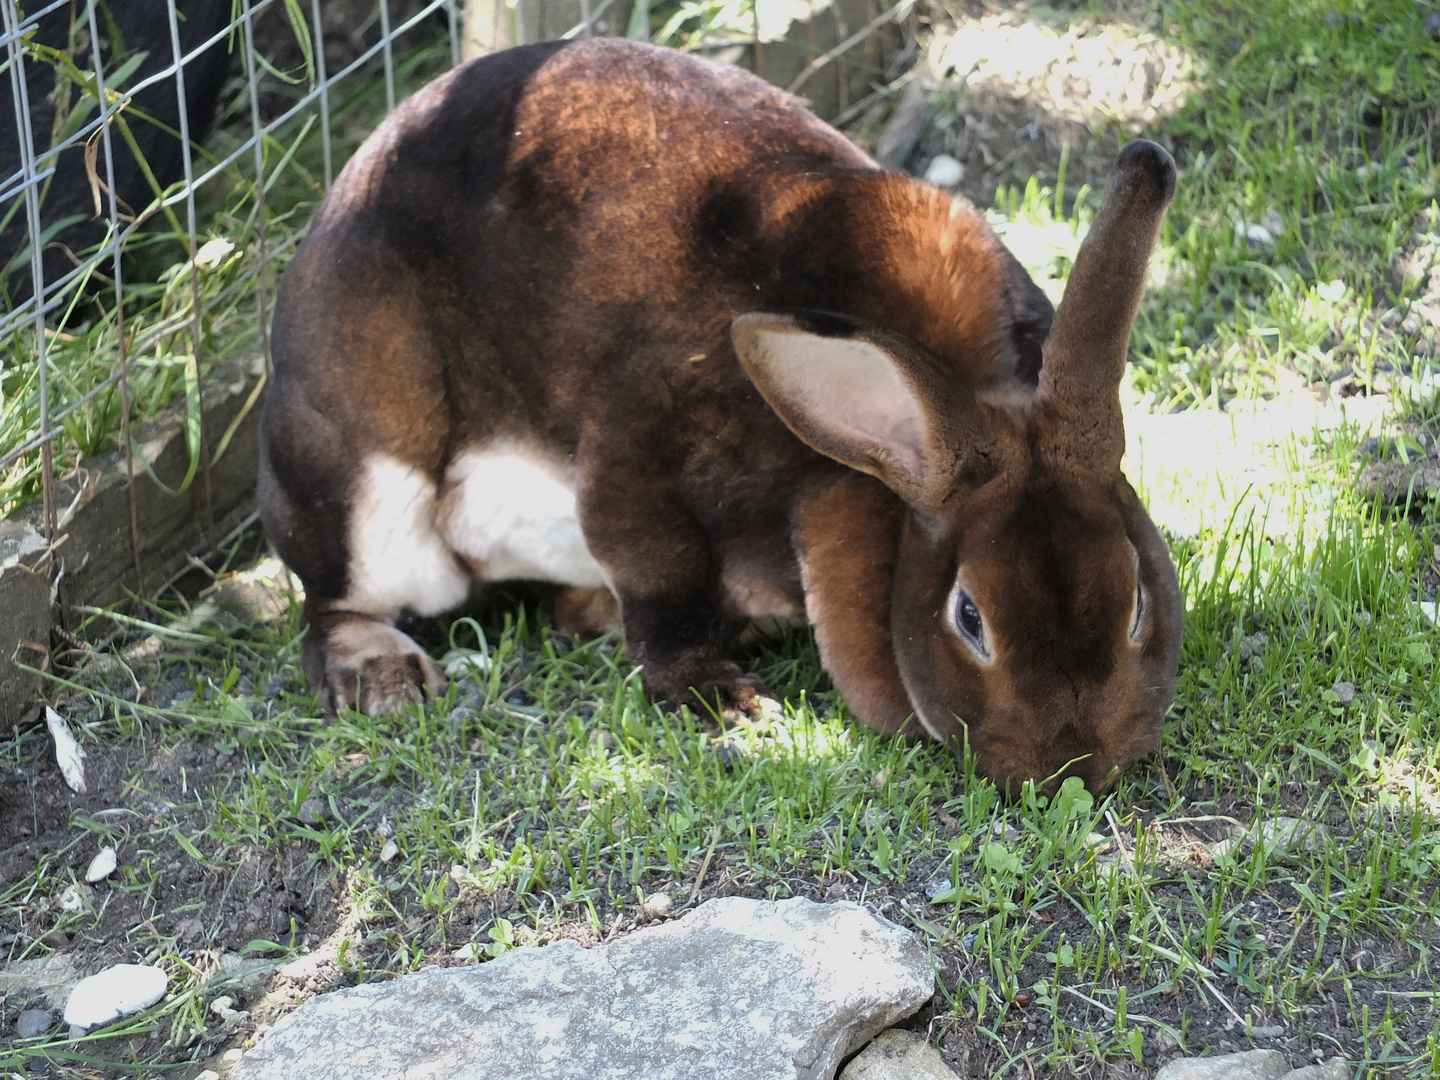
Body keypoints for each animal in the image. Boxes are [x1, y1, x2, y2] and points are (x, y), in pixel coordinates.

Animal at [259, 38, 1180, 794]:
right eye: (969, 618)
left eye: (1137, 592)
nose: (1074, 765)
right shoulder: (638, 456)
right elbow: (662, 580)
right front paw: (725, 704)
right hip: (363, 493)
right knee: (330, 605)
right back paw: (386, 679)